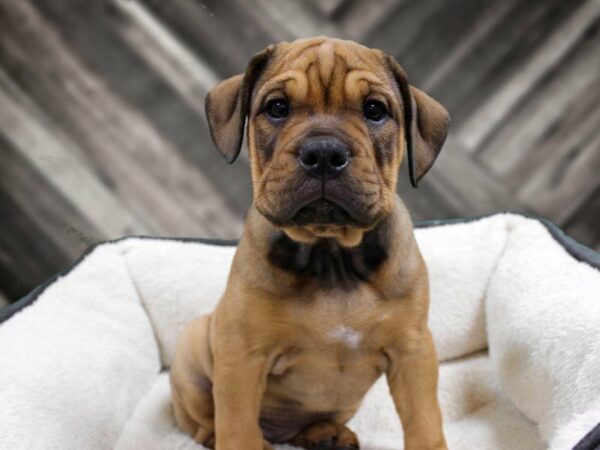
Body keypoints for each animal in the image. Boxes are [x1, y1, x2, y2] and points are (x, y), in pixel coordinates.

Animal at [170, 36, 450, 450]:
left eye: (375, 111)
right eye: (277, 108)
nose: (324, 153)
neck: (330, 253)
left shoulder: (412, 352)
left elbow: (425, 423)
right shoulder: (242, 355)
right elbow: (236, 427)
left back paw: (326, 434)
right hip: (193, 352)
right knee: (210, 426)